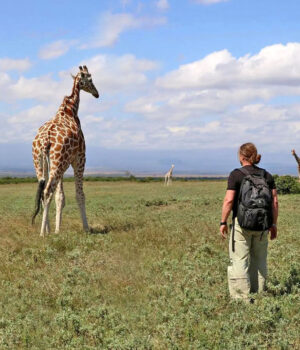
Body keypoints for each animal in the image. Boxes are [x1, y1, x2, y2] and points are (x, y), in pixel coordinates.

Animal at [31, 65, 99, 238]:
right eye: (90, 79)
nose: (97, 93)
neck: (70, 111)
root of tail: (44, 141)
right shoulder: (80, 159)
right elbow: (79, 195)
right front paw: (86, 228)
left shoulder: (63, 165)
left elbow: (60, 197)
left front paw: (56, 229)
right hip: (58, 163)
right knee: (47, 191)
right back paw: (42, 233)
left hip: (41, 162)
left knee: (43, 192)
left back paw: (46, 230)